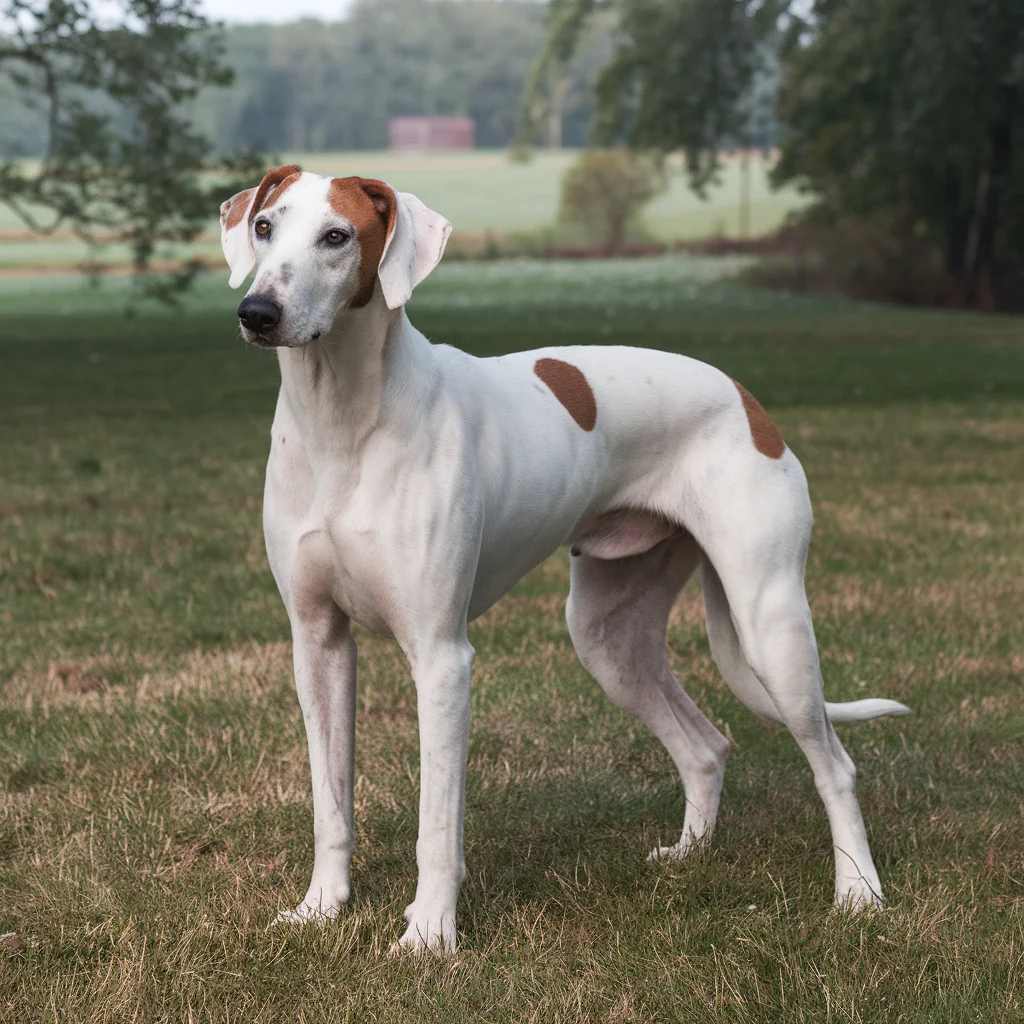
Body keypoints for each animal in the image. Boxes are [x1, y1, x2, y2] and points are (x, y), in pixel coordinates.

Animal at [220, 165, 909, 950]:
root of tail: (745, 396)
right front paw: (320, 909)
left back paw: (858, 892)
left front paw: (429, 936)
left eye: (337, 237)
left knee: (836, 766)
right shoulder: (318, 645)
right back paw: (689, 856)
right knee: (706, 746)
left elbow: (438, 824)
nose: (257, 312)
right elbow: (330, 803)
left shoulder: (442, 657)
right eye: (265, 227)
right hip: (608, 637)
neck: (341, 419)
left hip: (773, 628)